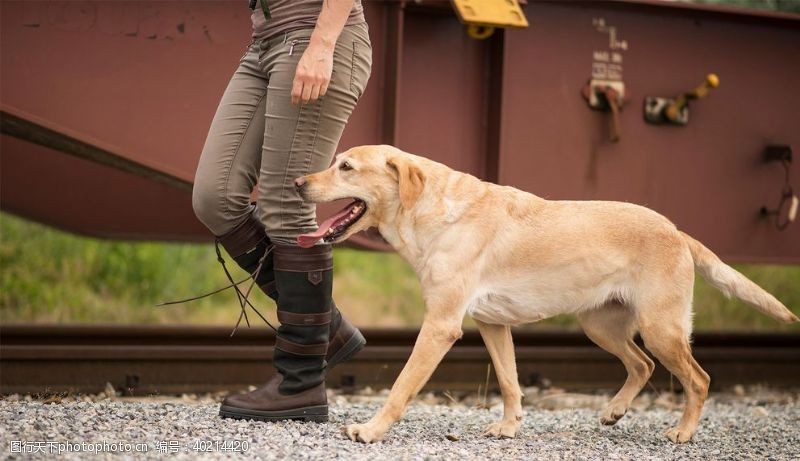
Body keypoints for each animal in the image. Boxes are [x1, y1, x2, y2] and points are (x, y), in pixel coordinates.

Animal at [296, 146, 800, 444]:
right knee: (642, 365)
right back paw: (614, 412)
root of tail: (677, 231)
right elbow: (509, 380)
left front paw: (371, 430)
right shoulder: (492, 324)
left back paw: (683, 432)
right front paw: (509, 426)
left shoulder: (441, 326)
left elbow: (401, 386)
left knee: (698, 378)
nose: (298, 183)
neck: (432, 211)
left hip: (660, 328)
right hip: (601, 326)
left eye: (346, 167)